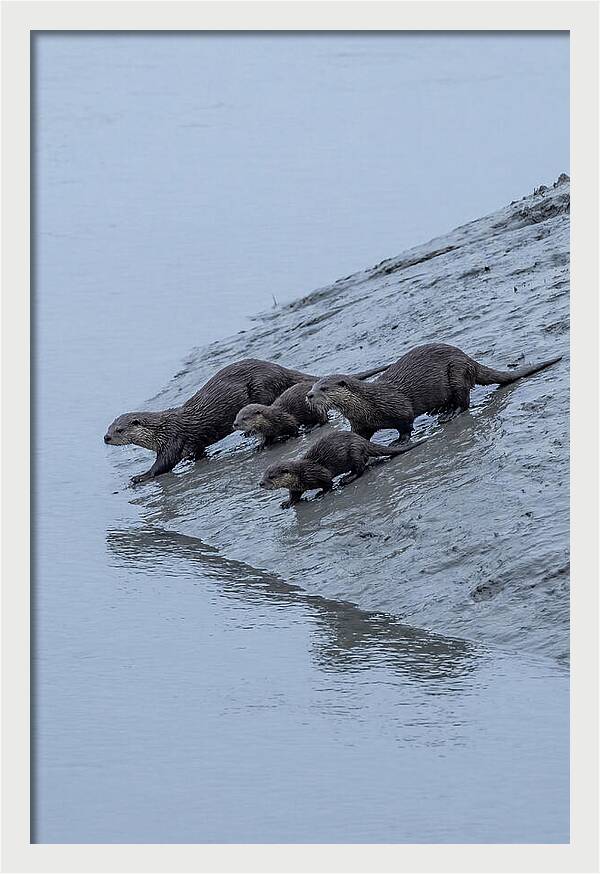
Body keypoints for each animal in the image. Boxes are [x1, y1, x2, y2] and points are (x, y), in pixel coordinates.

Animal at [232, 365, 389, 446]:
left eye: (244, 418)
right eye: (236, 416)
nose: (235, 424)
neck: (271, 420)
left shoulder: (286, 419)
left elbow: (293, 428)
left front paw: (292, 436)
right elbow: (267, 438)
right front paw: (262, 445)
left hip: (316, 408)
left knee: (323, 419)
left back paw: (312, 427)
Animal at [259, 431, 426, 508]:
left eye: (271, 476)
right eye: (264, 474)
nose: (260, 484)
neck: (301, 474)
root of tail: (362, 441)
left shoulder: (318, 473)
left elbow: (328, 483)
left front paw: (321, 493)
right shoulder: (296, 487)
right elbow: (294, 496)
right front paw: (287, 503)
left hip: (354, 452)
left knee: (361, 468)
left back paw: (347, 479)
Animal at [307, 343, 562, 441]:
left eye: (323, 388)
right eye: (312, 387)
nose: (309, 396)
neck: (368, 404)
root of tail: (468, 359)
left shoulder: (398, 407)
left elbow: (406, 424)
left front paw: (400, 441)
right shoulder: (360, 424)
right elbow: (360, 437)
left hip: (457, 372)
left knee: (464, 400)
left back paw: (450, 413)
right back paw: (440, 410)